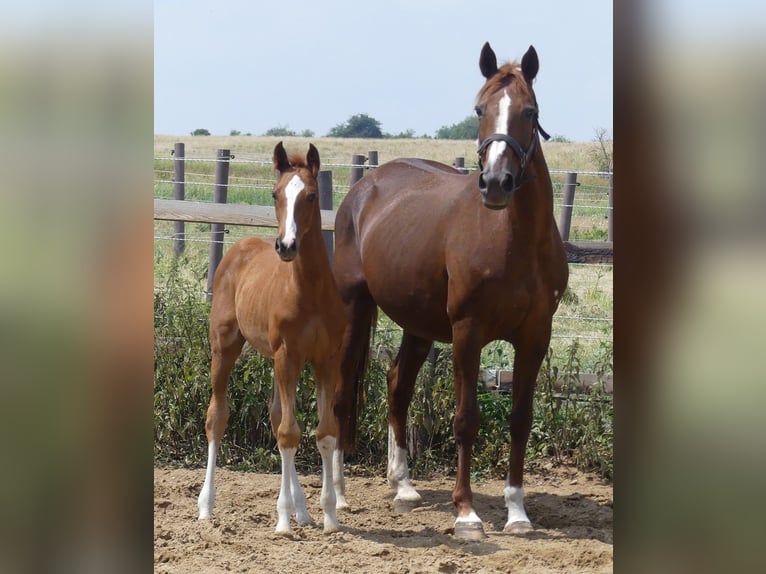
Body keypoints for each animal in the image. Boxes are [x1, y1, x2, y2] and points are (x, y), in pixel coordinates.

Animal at [198, 143, 344, 536]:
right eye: (275, 194)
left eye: (311, 195)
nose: (286, 245)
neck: (308, 291)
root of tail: (239, 247)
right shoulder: (287, 356)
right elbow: (288, 434)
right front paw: (282, 521)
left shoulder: (325, 360)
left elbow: (324, 433)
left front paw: (328, 516)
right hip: (225, 347)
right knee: (217, 417)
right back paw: (206, 505)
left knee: (277, 412)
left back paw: (303, 510)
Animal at [334, 44, 568, 540]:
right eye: (479, 109)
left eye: (530, 111)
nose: (496, 183)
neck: (513, 239)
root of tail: (365, 186)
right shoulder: (468, 332)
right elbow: (466, 420)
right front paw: (467, 514)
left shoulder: (535, 336)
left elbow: (521, 420)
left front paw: (517, 512)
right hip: (354, 310)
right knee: (343, 392)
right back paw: (339, 495)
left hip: (418, 326)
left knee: (397, 386)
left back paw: (403, 486)